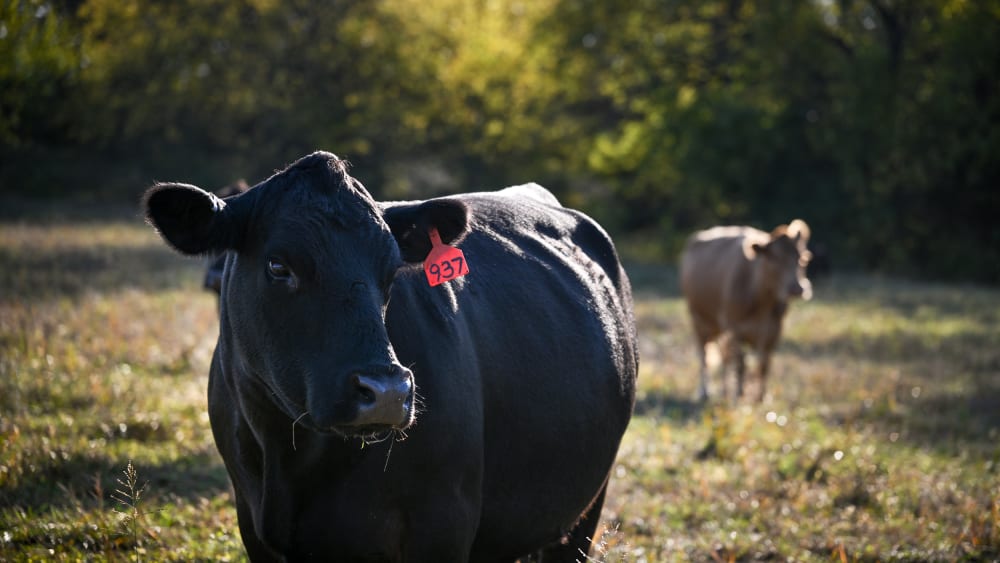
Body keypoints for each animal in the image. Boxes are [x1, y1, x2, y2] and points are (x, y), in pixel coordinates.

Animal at [142, 151, 638, 562]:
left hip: (582, 512)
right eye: (278, 266)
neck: (292, 458)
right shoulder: (253, 522)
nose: (386, 392)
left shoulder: (444, 521)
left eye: (391, 269)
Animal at [680, 220, 812, 403]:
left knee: (725, 358)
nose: (797, 288)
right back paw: (705, 392)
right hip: (699, 319)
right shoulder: (735, 328)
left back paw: (724, 391)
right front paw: (739, 394)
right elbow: (740, 364)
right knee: (704, 356)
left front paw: (761, 398)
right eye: (773, 258)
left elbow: (764, 364)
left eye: (803, 258)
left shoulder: (773, 330)